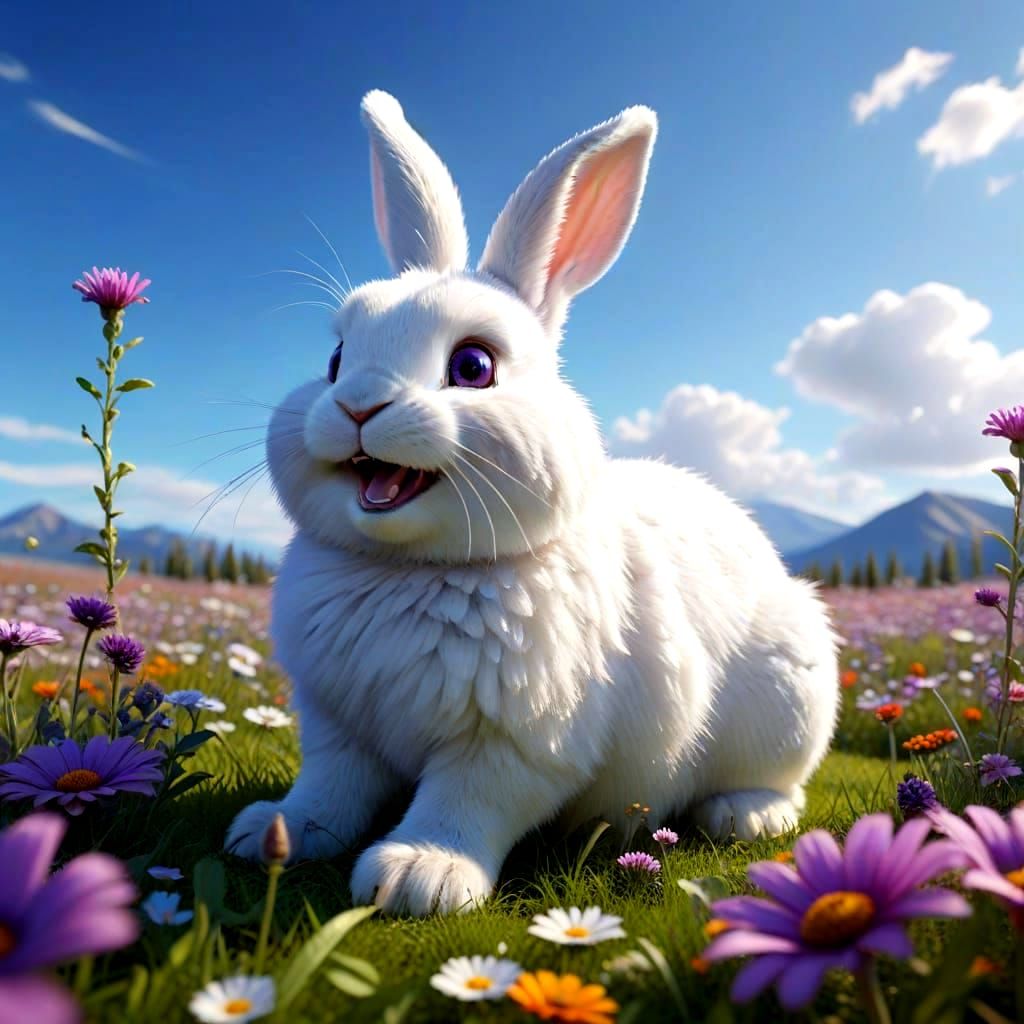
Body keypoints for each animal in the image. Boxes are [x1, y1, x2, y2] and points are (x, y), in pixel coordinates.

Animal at [225, 90, 840, 916]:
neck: (409, 569)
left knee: (779, 786)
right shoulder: (338, 725)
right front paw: (274, 832)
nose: (356, 405)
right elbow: (330, 790)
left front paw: (419, 877)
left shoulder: (514, 741)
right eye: (335, 359)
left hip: (789, 705)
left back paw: (745, 814)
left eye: (473, 366)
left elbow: (465, 804)